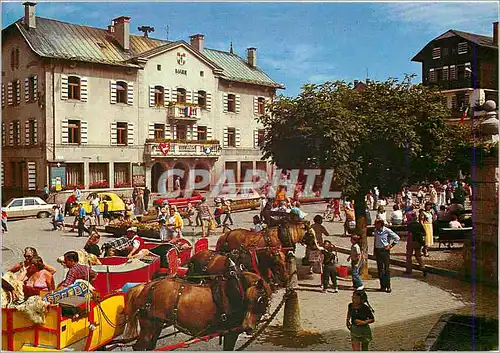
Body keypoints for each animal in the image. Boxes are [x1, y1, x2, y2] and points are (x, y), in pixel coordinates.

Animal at [124, 270, 274, 350]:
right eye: (250, 300)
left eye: (261, 300)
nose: (248, 327)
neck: (233, 294)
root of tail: (148, 285)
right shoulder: (231, 333)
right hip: (149, 325)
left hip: (157, 325)